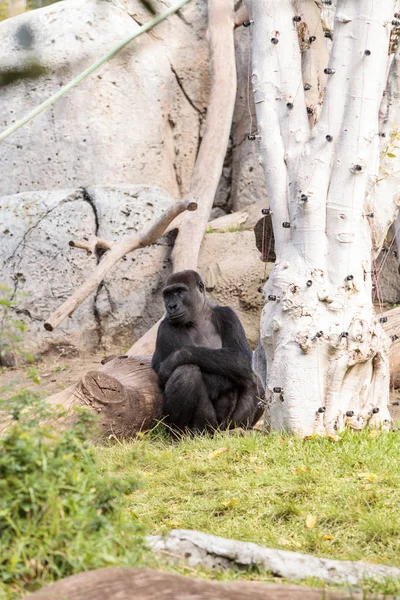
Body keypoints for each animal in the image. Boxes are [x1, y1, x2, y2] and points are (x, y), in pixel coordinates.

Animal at [152, 270, 260, 432]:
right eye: (168, 294)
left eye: (180, 291)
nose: (171, 306)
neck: (198, 316)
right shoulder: (166, 327)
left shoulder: (227, 314)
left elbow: (243, 359)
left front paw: (175, 358)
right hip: (206, 428)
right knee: (187, 372)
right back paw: (182, 433)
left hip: (225, 426)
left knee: (251, 377)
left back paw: (238, 429)